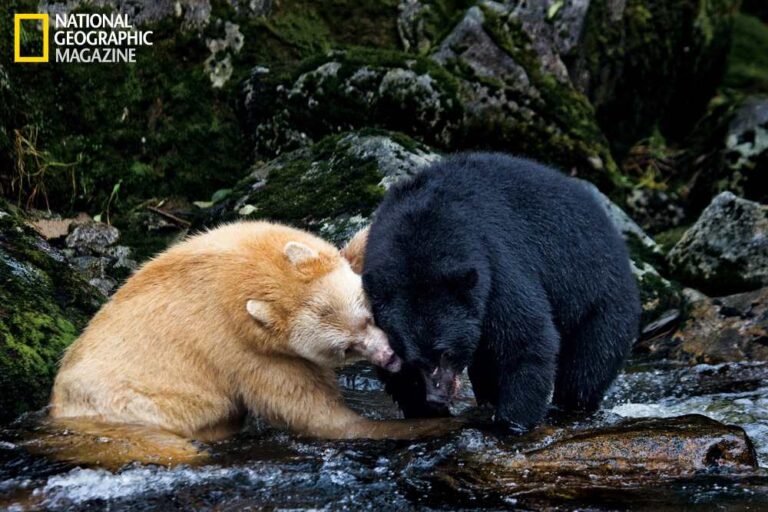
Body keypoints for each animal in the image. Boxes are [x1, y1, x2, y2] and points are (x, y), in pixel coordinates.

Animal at [50, 221, 461, 459]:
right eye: (345, 348)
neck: (248, 271)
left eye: (368, 315)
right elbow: (315, 412)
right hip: (136, 416)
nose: (390, 357)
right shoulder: (245, 349)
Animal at [355, 153, 641, 432]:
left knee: (587, 366)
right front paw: (423, 411)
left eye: (446, 352)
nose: (437, 397)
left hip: (601, 303)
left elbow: (526, 338)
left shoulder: (495, 264)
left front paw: (512, 423)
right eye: (415, 360)